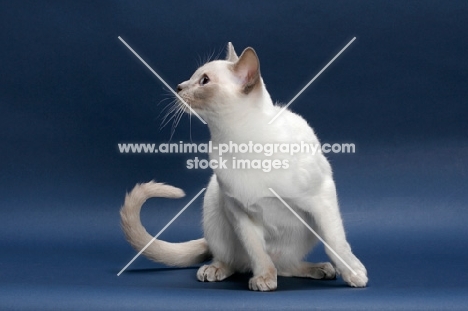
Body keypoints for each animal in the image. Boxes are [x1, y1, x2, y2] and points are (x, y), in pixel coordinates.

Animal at [121, 42, 370, 292]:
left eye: (204, 80)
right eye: (193, 78)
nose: (179, 87)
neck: (239, 141)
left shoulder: (321, 196)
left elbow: (335, 243)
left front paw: (355, 275)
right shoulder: (239, 212)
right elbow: (257, 252)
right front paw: (263, 279)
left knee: (286, 264)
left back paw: (322, 269)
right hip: (214, 202)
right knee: (239, 261)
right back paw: (215, 270)